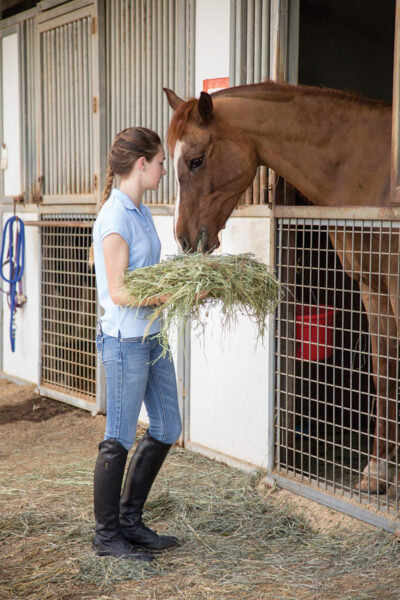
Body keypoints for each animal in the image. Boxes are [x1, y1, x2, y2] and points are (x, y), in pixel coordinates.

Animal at [163, 81, 396, 492]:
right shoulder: (373, 288)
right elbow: (384, 372)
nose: (185, 239)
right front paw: (377, 471)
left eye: (196, 161)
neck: (368, 168)